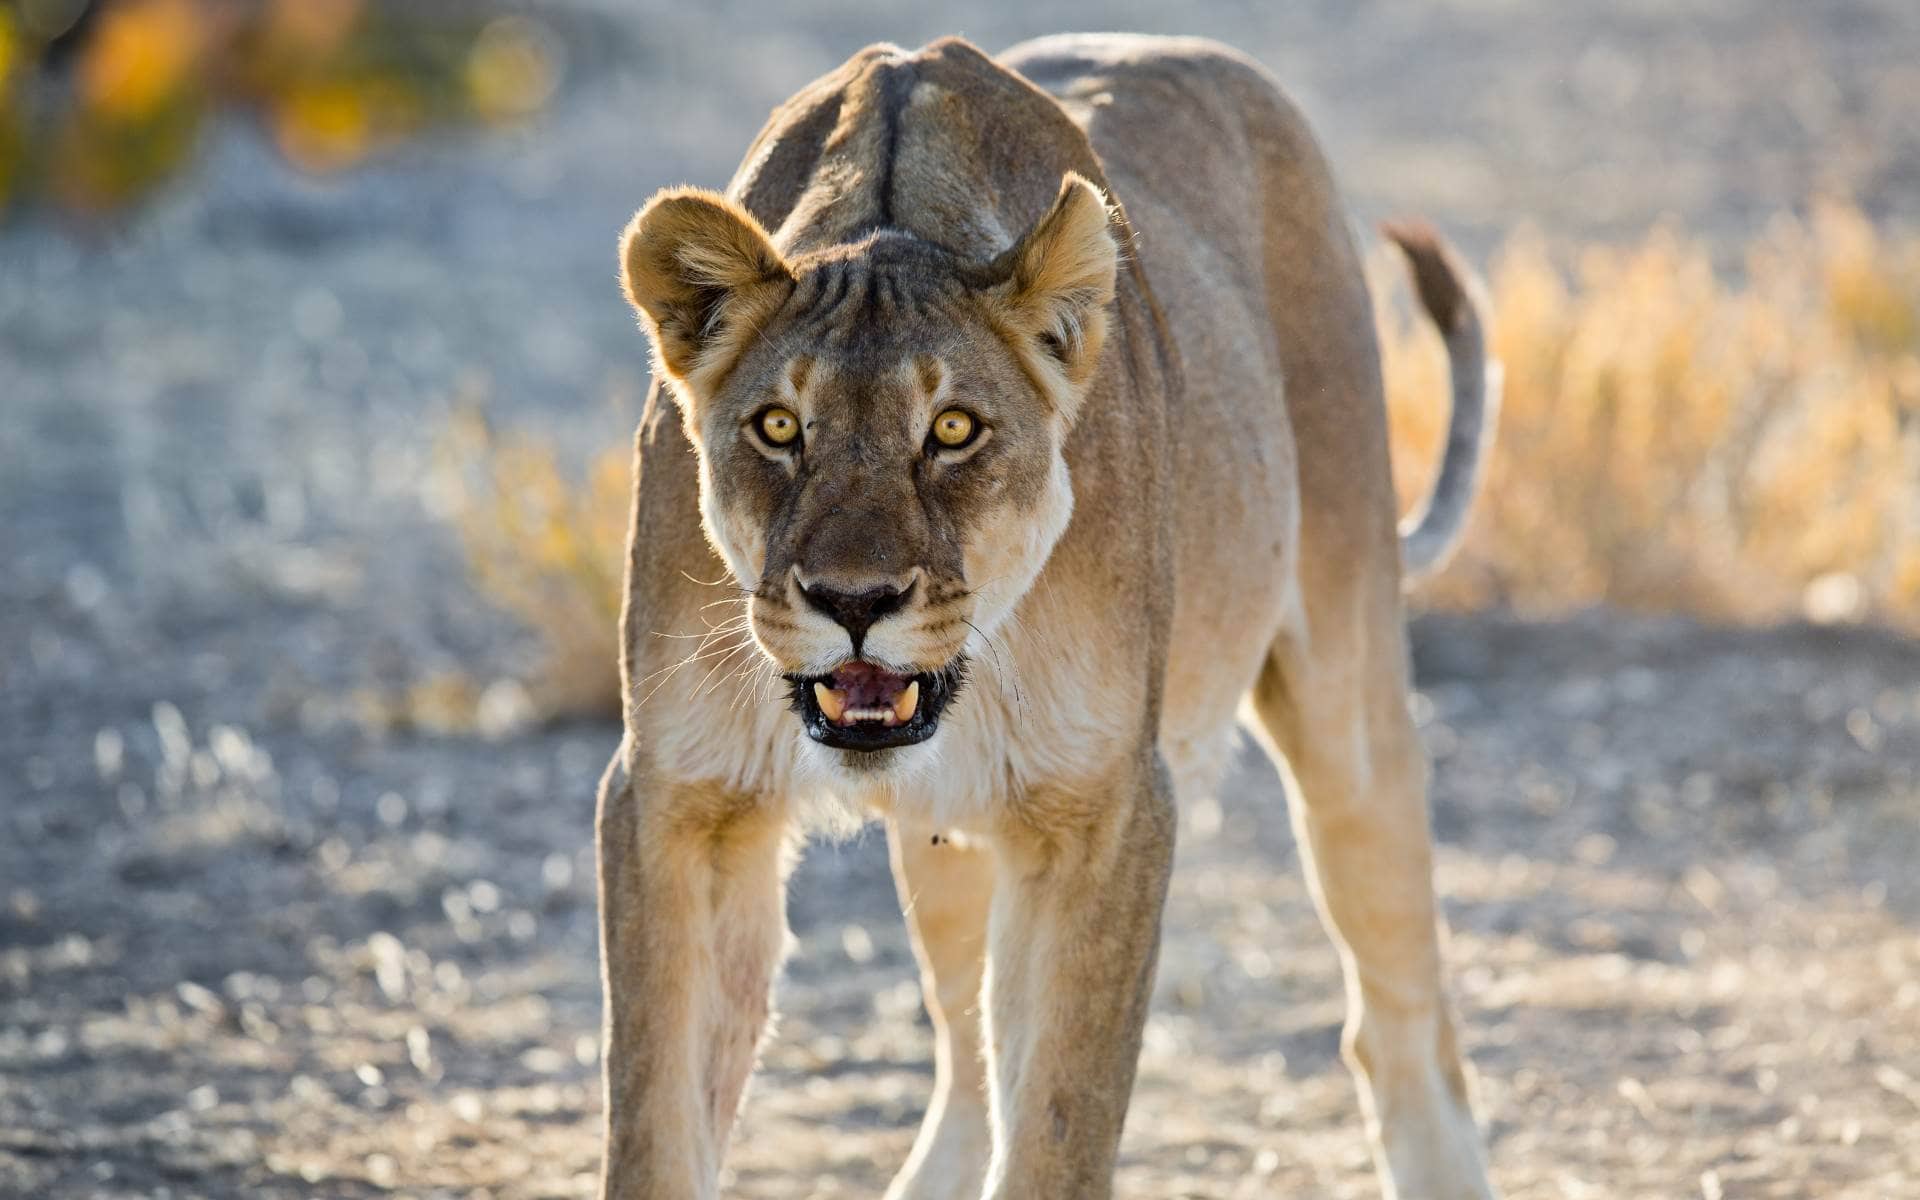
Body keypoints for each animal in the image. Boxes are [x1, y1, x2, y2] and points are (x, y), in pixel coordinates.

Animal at [596, 33, 1499, 1200]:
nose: (854, 603)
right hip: (948, 840)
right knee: (969, 1061)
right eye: (779, 427)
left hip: (1349, 702)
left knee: (1399, 1013)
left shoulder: (1103, 808)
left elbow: (1061, 1126)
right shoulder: (678, 800)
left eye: (954, 429)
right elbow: (654, 1124)